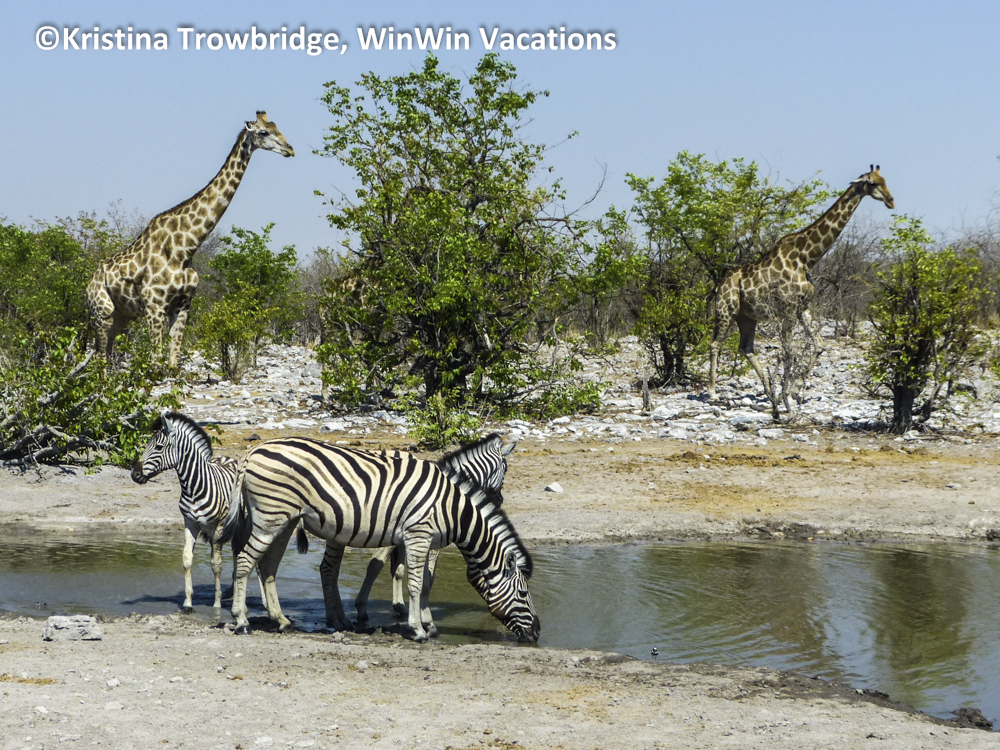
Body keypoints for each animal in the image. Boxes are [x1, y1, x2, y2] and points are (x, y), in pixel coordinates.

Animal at [86, 111, 294, 371]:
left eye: (277, 127)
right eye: (264, 132)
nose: (290, 149)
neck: (186, 248)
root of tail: (89, 283)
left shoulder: (183, 305)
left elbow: (175, 361)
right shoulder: (154, 306)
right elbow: (156, 363)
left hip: (121, 316)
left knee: (106, 353)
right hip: (102, 312)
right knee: (99, 358)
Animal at [131, 411, 261, 613]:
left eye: (159, 447)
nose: (134, 474)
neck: (193, 487)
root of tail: (228, 458)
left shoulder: (219, 526)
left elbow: (216, 565)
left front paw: (217, 604)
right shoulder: (190, 523)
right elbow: (187, 559)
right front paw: (187, 602)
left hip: (238, 526)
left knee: (237, 554)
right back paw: (233, 591)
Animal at [220, 436, 539, 642]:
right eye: (523, 594)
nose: (537, 632)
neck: (452, 507)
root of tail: (254, 450)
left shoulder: (419, 540)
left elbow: (417, 579)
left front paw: (424, 621)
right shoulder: (419, 536)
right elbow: (416, 582)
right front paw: (419, 628)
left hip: (284, 520)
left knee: (269, 566)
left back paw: (282, 620)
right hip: (270, 517)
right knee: (245, 560)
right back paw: (242, 620)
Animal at [707, 165, 894, 405]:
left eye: (885, 180)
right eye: (872, 183)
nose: (891, 201)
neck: (806, 257)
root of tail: (721, 282)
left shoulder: (802, 307)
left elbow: (818, 345)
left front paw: (794, 390)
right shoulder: (787, 308)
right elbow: (789, 351)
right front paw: (787, 392)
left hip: (747, 316)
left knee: (745, 347)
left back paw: (767, 387)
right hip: (725, 310)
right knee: (715, 344)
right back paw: (712, 392)